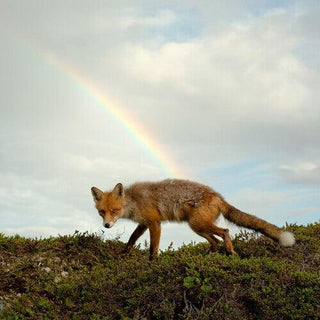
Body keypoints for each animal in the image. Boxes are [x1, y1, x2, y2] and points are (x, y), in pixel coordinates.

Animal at [90, 180, 296, 260]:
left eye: (114, 210)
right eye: (102, 212)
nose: (107, 225)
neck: (134, 201)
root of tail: (217, 195)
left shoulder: (154, 223)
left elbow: (153, 248)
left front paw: (152, 263)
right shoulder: (144, 223)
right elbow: (131, 240)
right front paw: (123, 254)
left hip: (197, 224)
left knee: (225, 232)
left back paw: (231, 252)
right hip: (198, 228)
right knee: (214, 242)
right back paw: (205, 257)